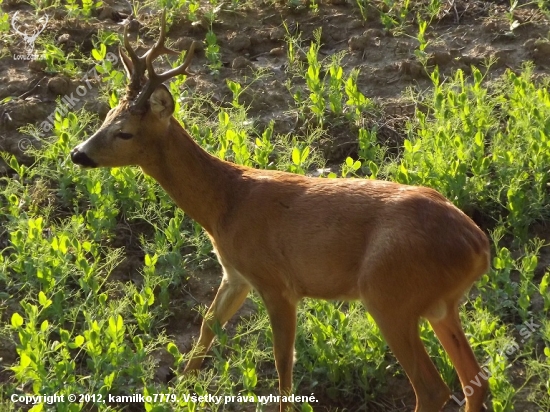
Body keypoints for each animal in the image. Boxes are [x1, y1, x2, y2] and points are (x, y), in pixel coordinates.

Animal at [70, 12, 492, 412]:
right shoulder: (235, 273)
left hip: (390, 294)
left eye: (124, 131)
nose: (78, 153)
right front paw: (180, 389)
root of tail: (479, 246)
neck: (225, 204)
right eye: (106, 116)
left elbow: (282, 363)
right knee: (476, 380)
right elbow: (207, 327)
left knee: (433, 388)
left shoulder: (276, 281)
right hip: (439, 305)